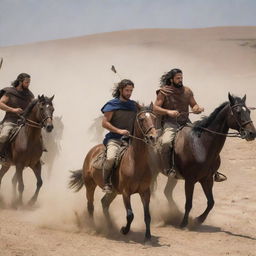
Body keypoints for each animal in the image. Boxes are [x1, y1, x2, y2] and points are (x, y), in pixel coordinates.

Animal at [70, 103, 157, 242]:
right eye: (142, 119)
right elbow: (130, 215)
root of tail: (92, 152)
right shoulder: (126, 193)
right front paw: (124, 230)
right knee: (90, 206)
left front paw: (148, 237)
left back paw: (110, 226)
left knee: (104, 203)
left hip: (114, 191)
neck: (135, 162)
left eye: (154, 118)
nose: (153, 137)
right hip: (90, 185)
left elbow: (147, 215)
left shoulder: (145, 192)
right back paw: (94, 228)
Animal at [151, 93, 255, 228]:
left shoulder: (207, 179)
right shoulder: (190, 180)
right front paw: (184, 223)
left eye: (248, 111)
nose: (252, 133)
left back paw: (174, 212)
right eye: (237, 112)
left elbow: (211, 202)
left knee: (167, 192)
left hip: (173, 177)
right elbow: (189, 204)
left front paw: (199, 219)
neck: (201, 145)